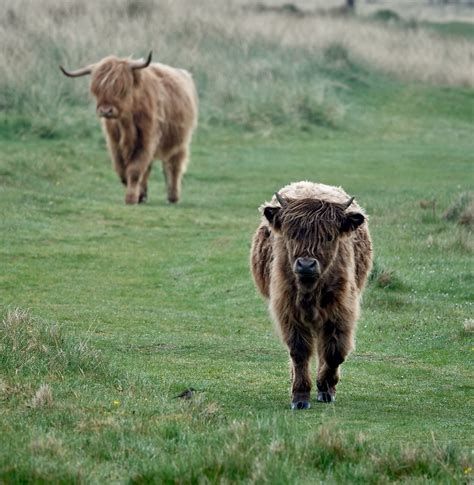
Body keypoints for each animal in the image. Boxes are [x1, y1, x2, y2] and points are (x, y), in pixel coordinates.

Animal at [60, 52, 197, 204]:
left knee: (174, 166)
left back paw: (173, 196)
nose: (106, 110)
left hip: (180, 142)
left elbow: (135, 169)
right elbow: (122, 169)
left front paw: (131, 197)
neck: (126, 122)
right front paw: (139, 194)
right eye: (97, 90)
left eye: (121, 89)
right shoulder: (114, 143)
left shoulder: (146, 140)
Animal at [250, 182, 372, 408]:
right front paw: (300, 396)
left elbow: (334, 352)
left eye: (329, 236)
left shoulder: (342, 311)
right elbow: (299, 352)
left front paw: (326, 388)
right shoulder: (288, 311)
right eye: (291, 234)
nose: (306, 264)